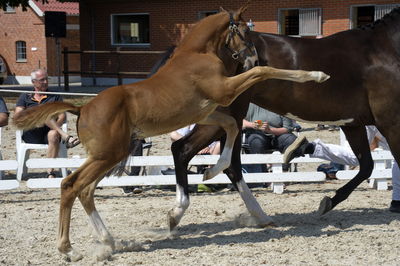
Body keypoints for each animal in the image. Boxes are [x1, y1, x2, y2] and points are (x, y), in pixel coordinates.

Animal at [12, 6, 328, 262]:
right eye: (245, 31)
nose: (251, 57)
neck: (197, 55)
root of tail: (82, 107)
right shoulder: (223, 91)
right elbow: (264, 73)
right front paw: (317, 75)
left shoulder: (207, 111)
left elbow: (231, 126)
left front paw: (212, 171)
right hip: (108, 154)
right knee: (70, 185)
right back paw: (68, 249)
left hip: (107, 156)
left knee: (85, 191)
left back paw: (108, 241)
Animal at [170, 6, 400, 231]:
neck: (383, 49)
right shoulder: (390, 122)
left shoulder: (354, 124)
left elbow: (367, 165)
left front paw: (328, 202)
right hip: (226, 118)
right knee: (184, 150)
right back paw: (178, 212)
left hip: (231, 120)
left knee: (228, 164)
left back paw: (259, 215)